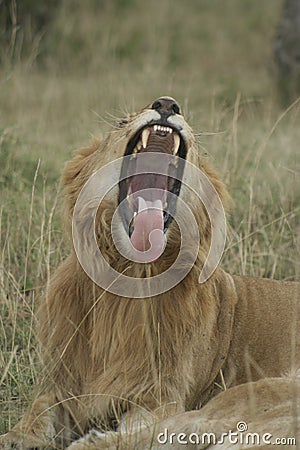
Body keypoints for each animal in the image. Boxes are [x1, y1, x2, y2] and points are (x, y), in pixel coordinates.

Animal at [0, 96, 300, 448]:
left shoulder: (158, 396)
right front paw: (15, 437)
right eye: (121, 123)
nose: (167, 104)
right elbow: (36, 413)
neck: (129, 273)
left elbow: (152, 426)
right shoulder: (63, 384)